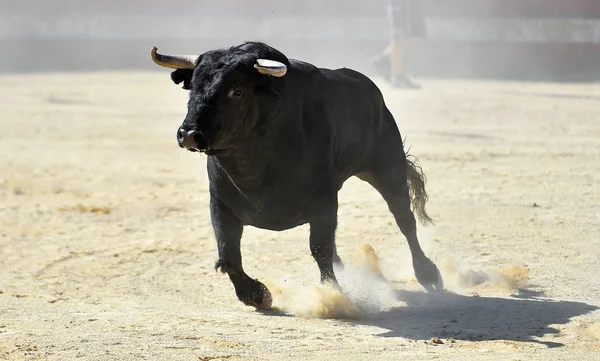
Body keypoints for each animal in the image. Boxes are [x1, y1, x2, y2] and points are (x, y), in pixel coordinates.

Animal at [149, 41, 442, 306]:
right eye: (193, 88)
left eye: (237, 91)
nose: (189, 134)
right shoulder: (220, 203)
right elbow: (228, 255)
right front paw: (257, 296)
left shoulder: (323, 201)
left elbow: (320, 248)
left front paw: (333, 293)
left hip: (386, 167)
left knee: (404, 219)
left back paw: (428, 274)